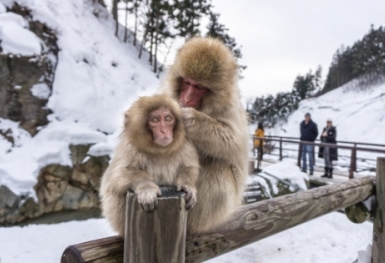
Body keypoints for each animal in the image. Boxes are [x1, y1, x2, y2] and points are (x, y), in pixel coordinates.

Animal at [100, 95, 198, 237]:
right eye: (155, 120)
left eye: (168, 118)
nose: (164, 130)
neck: (159, 150)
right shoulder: (129, 148)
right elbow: (119, 174)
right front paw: (147, 189)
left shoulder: (185, 145)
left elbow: (190, 167)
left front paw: (187, 186)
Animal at [159, 36, 249, 233]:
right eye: (187, 82)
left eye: (199, 87)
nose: (186, 98)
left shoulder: (230, 108)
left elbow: (234, 142)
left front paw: (190, 119)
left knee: (219, 166)